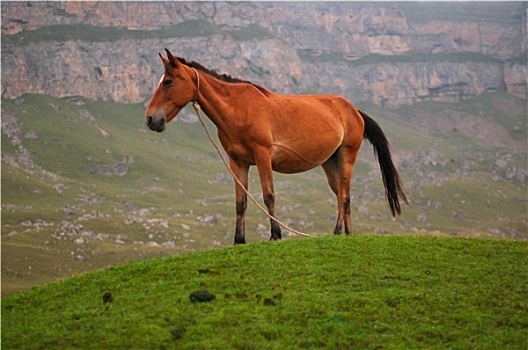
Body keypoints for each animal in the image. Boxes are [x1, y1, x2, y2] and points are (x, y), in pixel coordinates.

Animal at [144, 49, 408, 243]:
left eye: (168, 82)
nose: (151, 119)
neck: (238, 109)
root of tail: (354, 110)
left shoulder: (263, 156)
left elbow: (269, 195)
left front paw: (275, 235)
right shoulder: (237, 162)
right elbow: (241, 202)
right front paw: (239, 240)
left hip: (346, 158)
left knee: (343, 196)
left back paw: (335, 231)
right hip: (330, 164)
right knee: (345, 197)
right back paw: (347, 234)